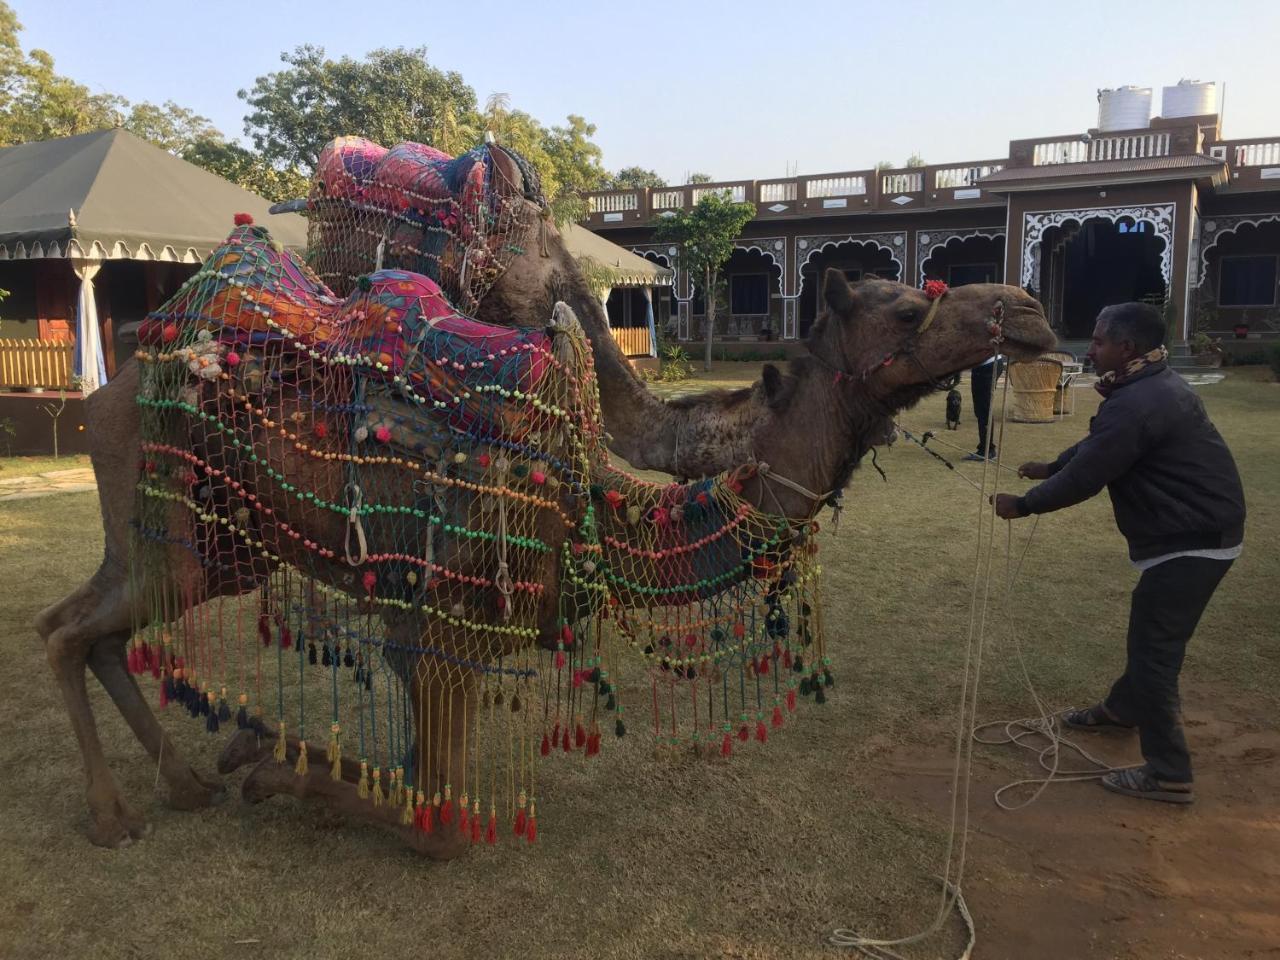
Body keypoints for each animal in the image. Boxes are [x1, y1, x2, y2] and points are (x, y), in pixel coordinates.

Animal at [37, 136, 1049, 855]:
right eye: (910, 308)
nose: (1029, 312)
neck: (598, 517)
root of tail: (115, 382)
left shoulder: (432, 634)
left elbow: (417, 780)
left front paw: (252, 747)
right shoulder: (440, 633)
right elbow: (439, 821)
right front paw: (262, 764)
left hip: (219, 544)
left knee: (90, 624)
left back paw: (180, 784)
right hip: (174, 527)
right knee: (68, 629)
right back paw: (115, 813)